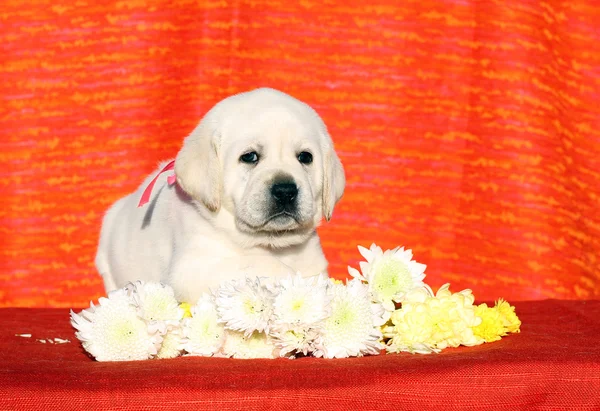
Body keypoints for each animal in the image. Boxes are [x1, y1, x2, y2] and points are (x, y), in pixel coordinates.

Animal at [95, 88, 344, 304]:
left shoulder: (314, 259)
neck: (273, 244)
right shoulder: (196, 267)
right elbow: (263, 265)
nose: (285, 191)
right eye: (250, 157)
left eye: (305, 157)